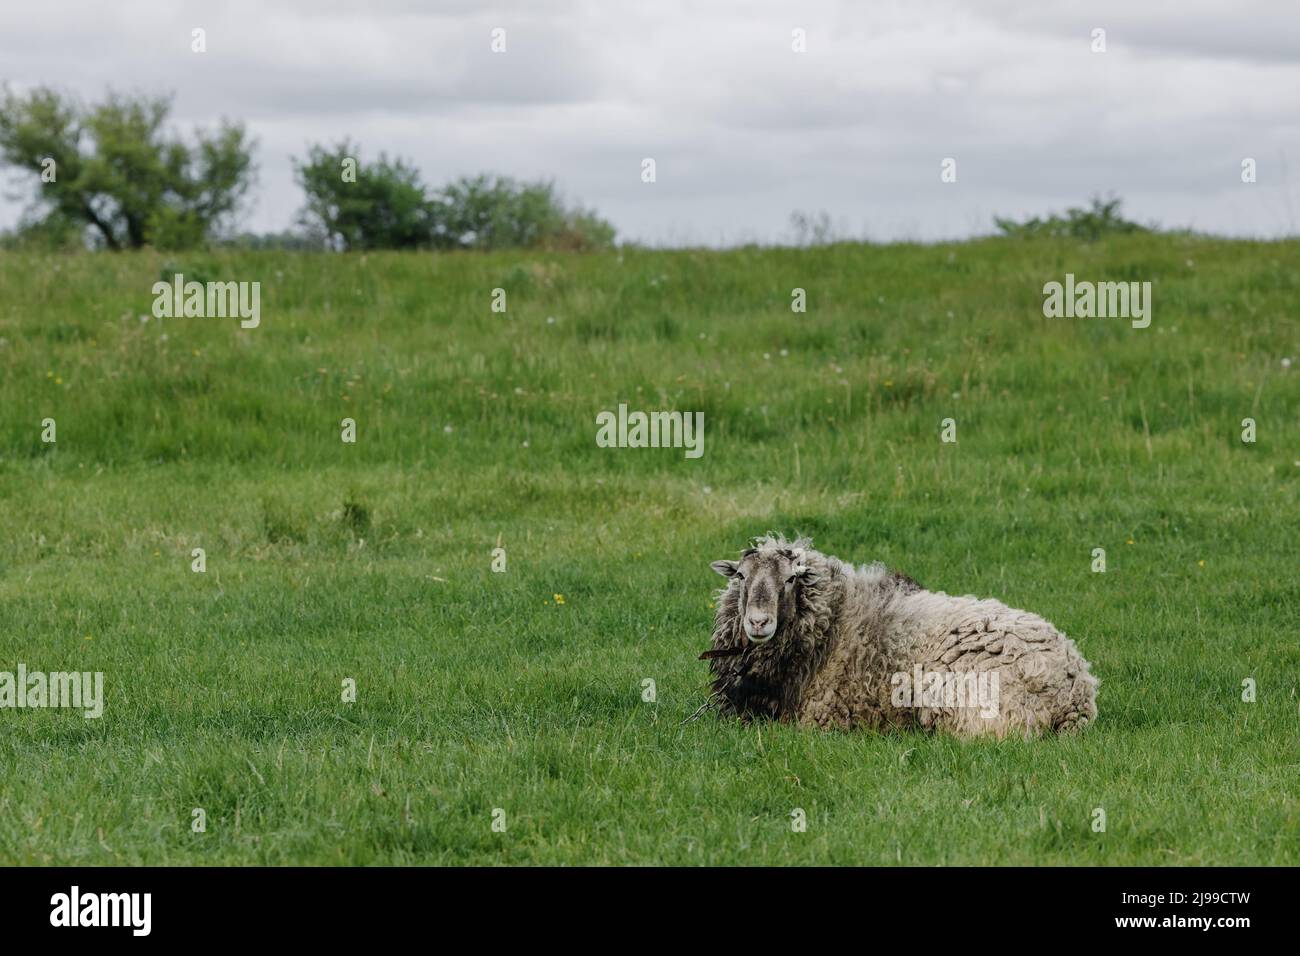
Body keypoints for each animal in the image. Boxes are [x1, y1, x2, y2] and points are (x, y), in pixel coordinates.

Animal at [699, 535, 1097, 738]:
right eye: (741, 576)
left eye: (791, 579)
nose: (758, 622)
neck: (834, 621)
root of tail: (1077, 688)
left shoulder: (819, 719)